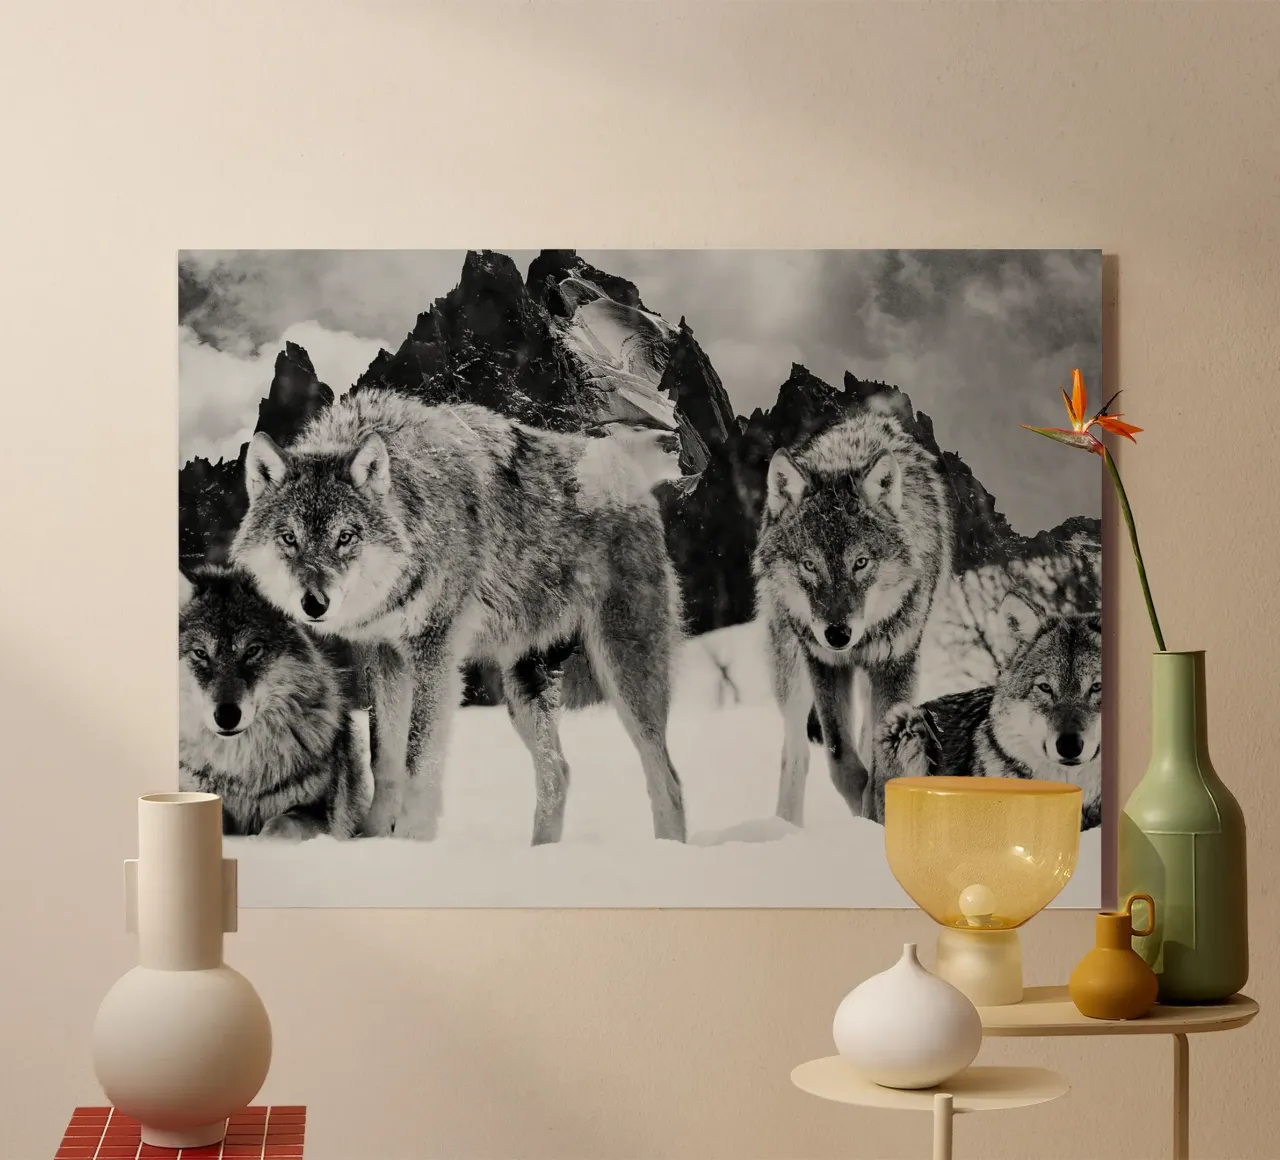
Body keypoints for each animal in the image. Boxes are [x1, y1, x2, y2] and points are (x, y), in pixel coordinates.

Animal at [229, 391, 685, 845]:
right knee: (559, 773)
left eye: (345, 537)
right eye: (289, 538)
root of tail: (629, 473)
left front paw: (411, 840)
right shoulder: (384, 655)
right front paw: (374, 837)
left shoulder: (435, 652)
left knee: (666, 776)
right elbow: (384, 757)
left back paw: (668, 848)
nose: (314, 603)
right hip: (523, 687)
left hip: (623, 671)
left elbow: (418, 759)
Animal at [752, 410, 953, 826]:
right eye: (809, 565)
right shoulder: (824, 663)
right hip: (790, 670)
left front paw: (876, 813)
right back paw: (786, 826)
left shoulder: (897, 663)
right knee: (796, 751)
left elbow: (883, 767)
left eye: (860, 563)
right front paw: (860, 807)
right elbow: (840, 759)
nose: (838, 634)